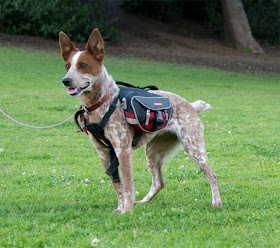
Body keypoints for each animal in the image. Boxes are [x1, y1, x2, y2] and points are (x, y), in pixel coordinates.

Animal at [59, 28, 223, 213]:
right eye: (67, 66)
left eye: (83, 65)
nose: (66, 80)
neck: (102, 103)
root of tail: (192, 106)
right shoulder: (104, 153)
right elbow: (118, 186)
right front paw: (120, 208)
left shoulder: (123, 150)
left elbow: (128, 186)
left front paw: (127, 211)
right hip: (152, 152)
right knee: (159, 182)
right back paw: (143, 202)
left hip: (194, 148)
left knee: (213, 176)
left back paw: (217, 202)